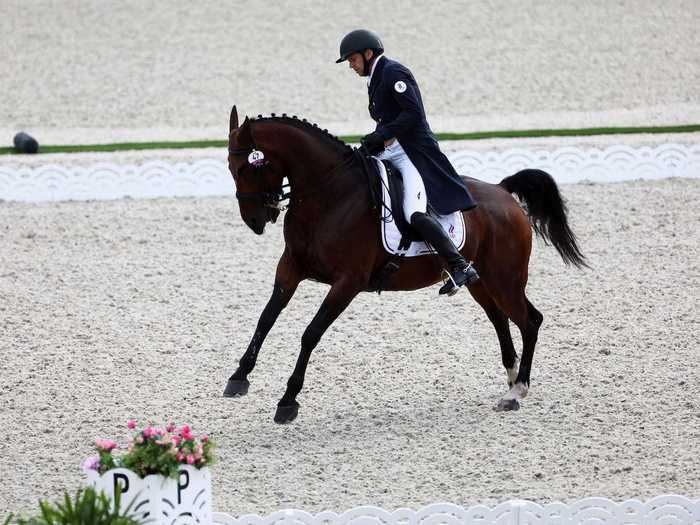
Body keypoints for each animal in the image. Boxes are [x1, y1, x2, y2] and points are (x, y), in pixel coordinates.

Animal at [224, 105, 584, 422]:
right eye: (230, 169)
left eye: (246, 168)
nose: (255, 221)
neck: (328, 194)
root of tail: (502, 191)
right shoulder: (291, 268)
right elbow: (266, 318)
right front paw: (239, 376)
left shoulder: (347, 283)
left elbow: (310, 334)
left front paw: (288, 400)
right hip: (482, 282)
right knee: (499, 319)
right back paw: (510, 379)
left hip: (505, 279)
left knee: (530, 321)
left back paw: (517, 391)